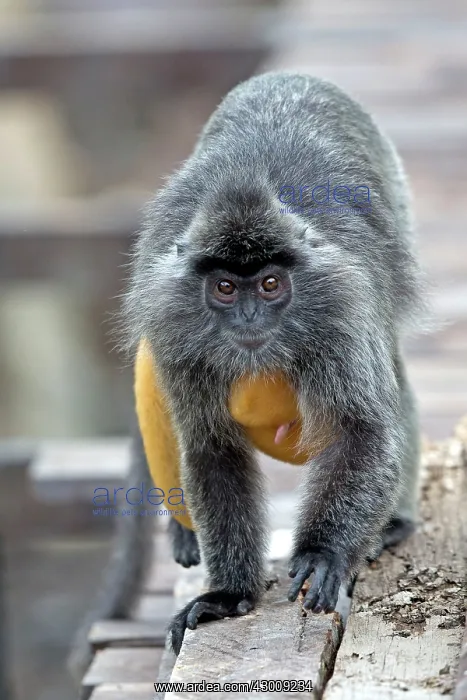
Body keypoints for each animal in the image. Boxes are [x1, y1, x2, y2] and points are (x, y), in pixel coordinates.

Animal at [121, 71, 423, 656]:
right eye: (224, 288)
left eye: (268, 284)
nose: (248, 316)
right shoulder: (173, 328)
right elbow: (212, 447)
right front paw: (231, 594)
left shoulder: (340, 308)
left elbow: (362, 431)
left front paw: (325, 554)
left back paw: (391, 524)